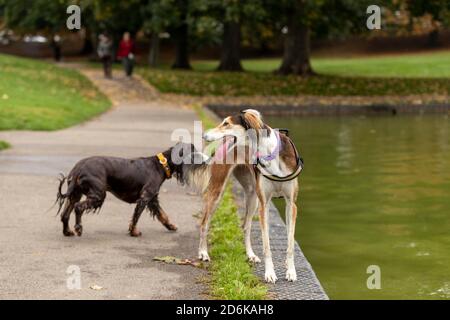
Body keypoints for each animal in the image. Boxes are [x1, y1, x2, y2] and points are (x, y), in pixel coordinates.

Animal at [55, 142, 205, 238]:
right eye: (194, 152)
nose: (206, 160)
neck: (160, 165)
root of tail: (78, 167)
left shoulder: (153, 199)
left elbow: (163, 215)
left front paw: (171, 226)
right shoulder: (145, 197)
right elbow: (136, 217)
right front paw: (134, 232)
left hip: (75, 194)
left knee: (65, 214)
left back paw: (67, 232)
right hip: (98, 194)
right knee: (78, 208)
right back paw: (78, 228)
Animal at [192, 109, 304, 282]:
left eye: (226, 123)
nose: (204, 135)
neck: (270, 153)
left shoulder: (291, 203)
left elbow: (290, 241)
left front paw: (291, 271)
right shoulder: (264, 205)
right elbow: (266, 245)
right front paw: (270, 273)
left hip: (252, 198)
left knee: (246, 225)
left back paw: (250, 255)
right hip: (218, 192)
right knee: (204, 222)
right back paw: (203, 253)